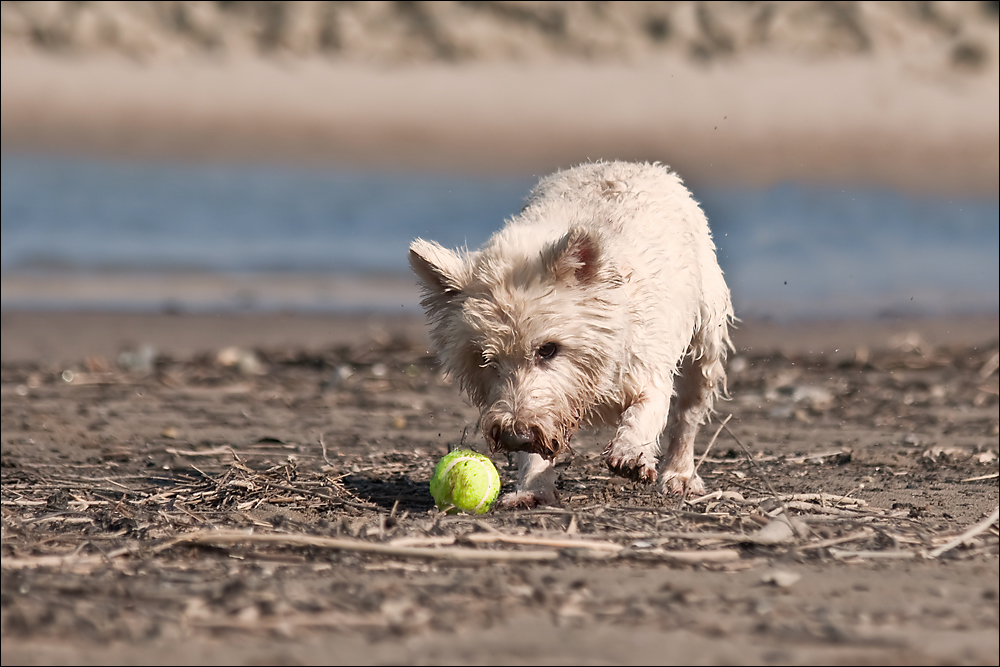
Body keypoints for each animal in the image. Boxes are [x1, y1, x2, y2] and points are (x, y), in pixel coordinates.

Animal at [408, 162, 736, 506]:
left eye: (548, 349)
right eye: (485, 359)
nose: (514, 435)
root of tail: (633, 164)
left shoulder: (647, 364)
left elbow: (646, 409)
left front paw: (631, 453)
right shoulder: (538, 412)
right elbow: (536, 450)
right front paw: (532, 489)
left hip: (705, 340)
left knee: (688, 413)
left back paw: (679, 474)